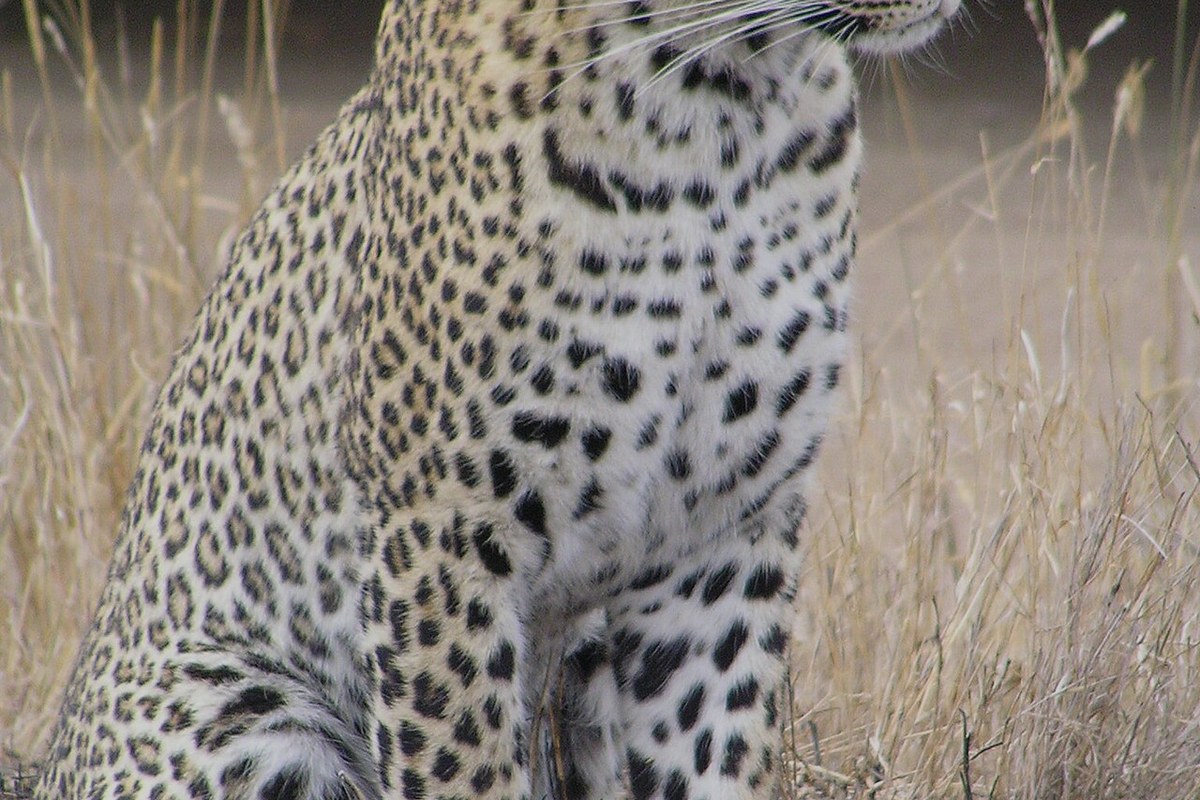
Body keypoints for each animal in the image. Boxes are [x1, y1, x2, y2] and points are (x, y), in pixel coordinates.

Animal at [32, 1, 960, 798]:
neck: (725, 124)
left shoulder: (725, 532)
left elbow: (715, 755)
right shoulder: (442, 536)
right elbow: (463, 768)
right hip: (249, 718)